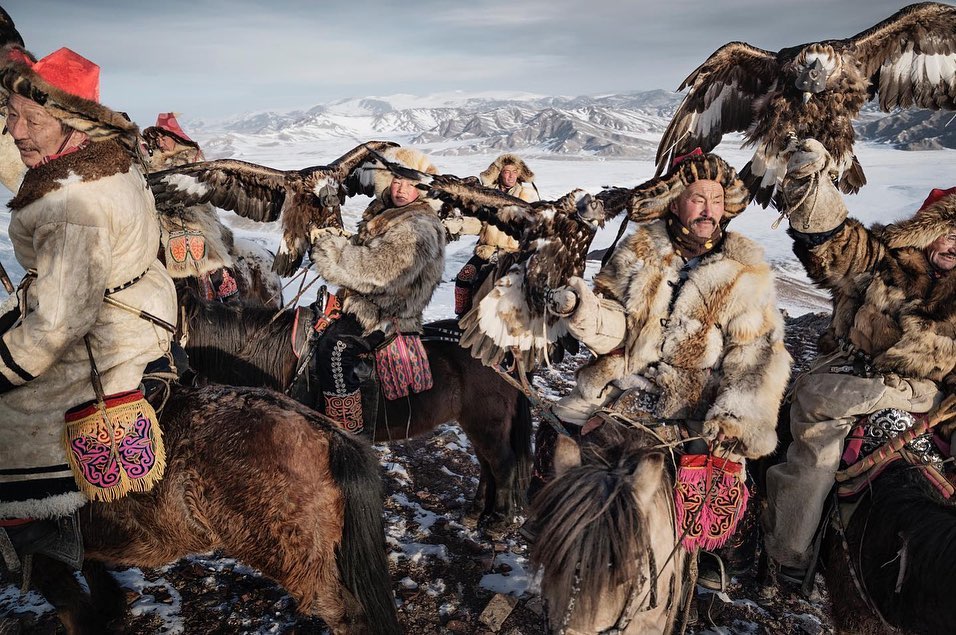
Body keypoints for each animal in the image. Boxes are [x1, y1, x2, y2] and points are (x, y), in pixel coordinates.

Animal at [176, 292, 536, 520]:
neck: (286, 356)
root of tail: (504, 351)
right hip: (477, 424)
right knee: (487, 466)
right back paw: (475, 513)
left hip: (487, 423)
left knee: (502, 465)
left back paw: (498, 521)